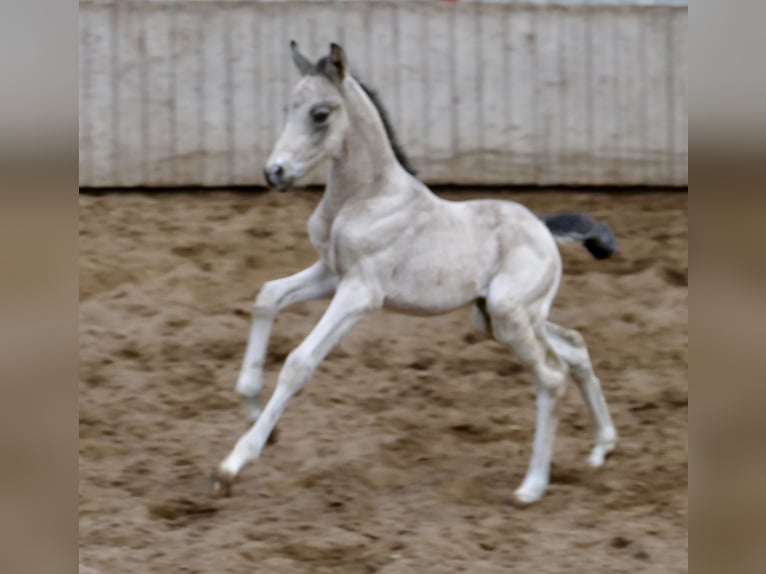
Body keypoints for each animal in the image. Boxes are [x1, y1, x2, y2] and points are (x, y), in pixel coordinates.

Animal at [210, 42, 618, 505]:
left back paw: (531, 486)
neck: (366, 196)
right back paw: (602, 446)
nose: (274, 172)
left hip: (508, 312)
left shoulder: (361, 293)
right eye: (288, 108)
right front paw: (254, 411)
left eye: (320, 113)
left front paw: (232, 465)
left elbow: (299, 362)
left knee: (551, 378)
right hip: (498, 316)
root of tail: (544, 228)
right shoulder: (331, 274)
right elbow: (267, 296)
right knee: (574, 347)